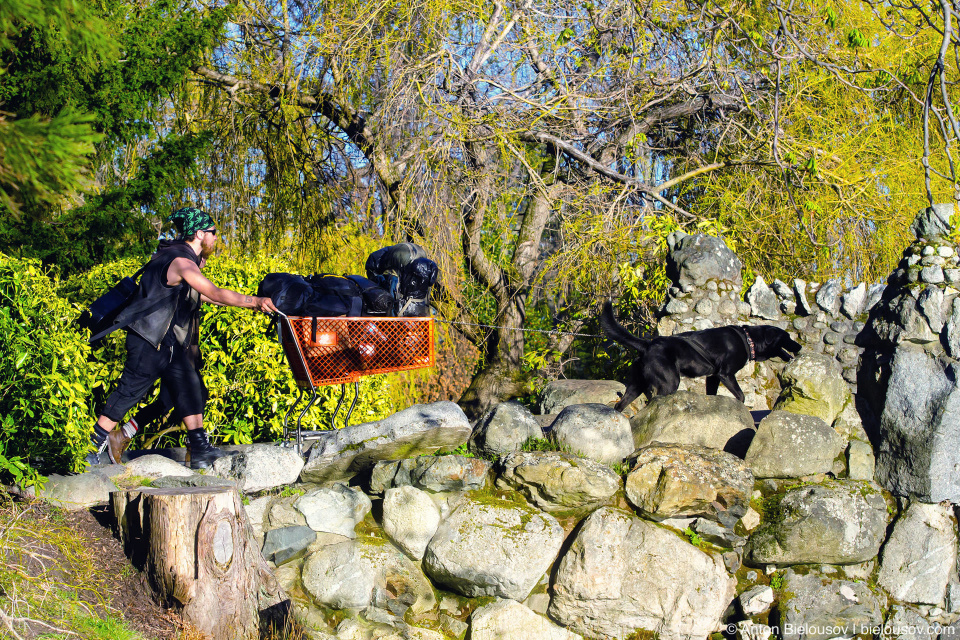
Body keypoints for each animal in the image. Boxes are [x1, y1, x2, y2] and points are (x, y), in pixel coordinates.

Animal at [600, 302, 804, 410]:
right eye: (787, 338)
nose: (800, 346)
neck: (748, 339)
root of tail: (647, 344)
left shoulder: (713, 377)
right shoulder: (726, 374)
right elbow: (741, 396)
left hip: (636, 386)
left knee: (620, 405)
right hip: (669, 382)